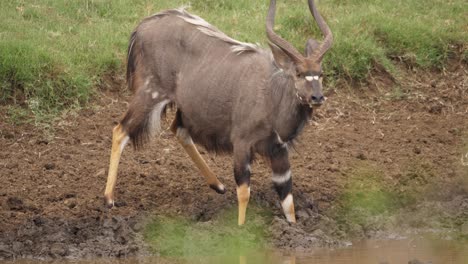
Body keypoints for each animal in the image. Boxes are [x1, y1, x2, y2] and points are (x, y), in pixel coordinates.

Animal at [106, 0, 332, 225]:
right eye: (298, 73)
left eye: (320, 74)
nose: (317, 97)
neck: (271, 94)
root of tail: (141, 28)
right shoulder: (241, 143)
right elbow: (244, 192)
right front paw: (241, 229)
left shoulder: (278, 150)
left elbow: (287, 198)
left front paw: (292, 226)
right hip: (149, 93)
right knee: (120, 130)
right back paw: (108, 198)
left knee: (178, 129)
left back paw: (218, 185)